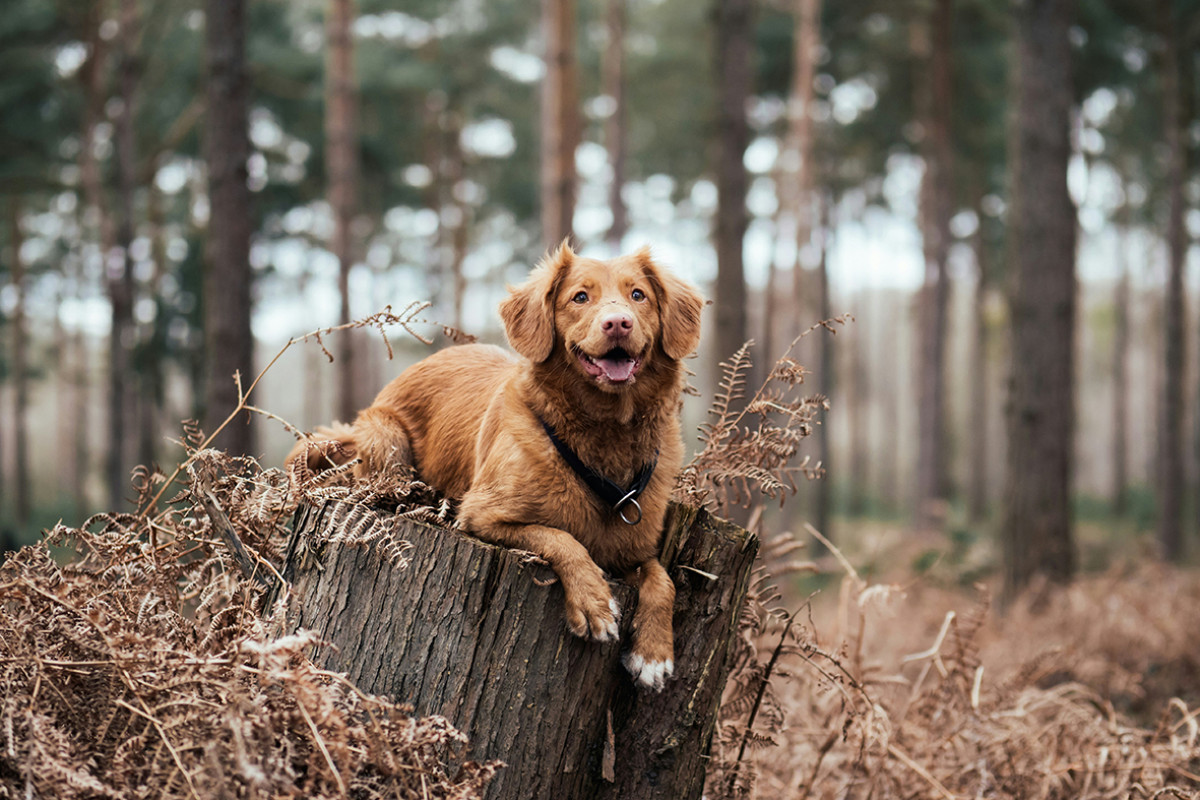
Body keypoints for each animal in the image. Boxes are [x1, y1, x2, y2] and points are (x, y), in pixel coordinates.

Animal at [290, 242, 700, 690]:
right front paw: (593, 601)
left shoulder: (633, 549)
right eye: (580, 297)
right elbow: (561, 538)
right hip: (386, 438)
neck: (605, 435)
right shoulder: (482, 515)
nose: (618, 323)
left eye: (638, 295)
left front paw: (654, 654)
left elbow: (662, 580)